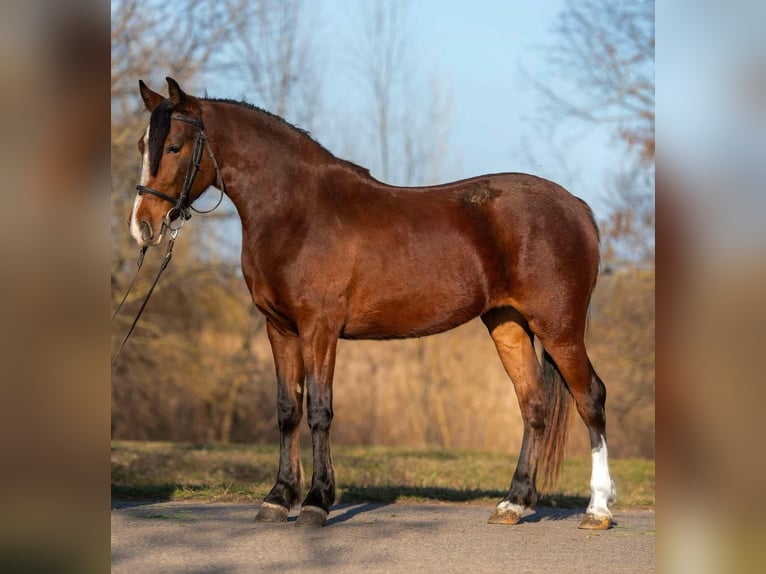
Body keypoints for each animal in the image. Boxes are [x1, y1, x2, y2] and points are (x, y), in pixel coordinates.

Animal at [127, 77, 616, 532]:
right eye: (142, 145)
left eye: (174, 146)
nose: (142, 227)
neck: (295, 211)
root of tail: (577, 207)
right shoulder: (279, 328)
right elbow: (287, 411)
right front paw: (278, 498)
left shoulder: (319, 328)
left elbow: (319, 411)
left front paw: (317, 502)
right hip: (508, 323)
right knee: (533, 405)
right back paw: (513, 504)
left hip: (559, 327)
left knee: (590, 398)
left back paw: (597, 510)